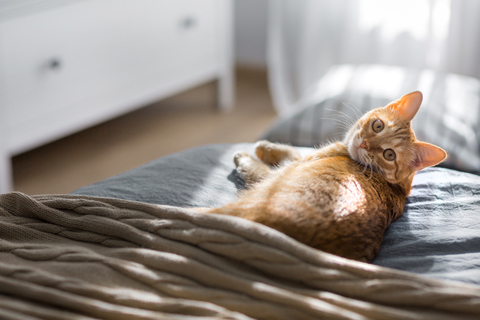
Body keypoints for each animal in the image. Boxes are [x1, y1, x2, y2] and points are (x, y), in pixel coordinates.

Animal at [202, 91, 446, 262]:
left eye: (389, 154)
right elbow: (291, 151)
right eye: (378, 125)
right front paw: (267, 146)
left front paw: (253, 152)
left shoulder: (282, 171)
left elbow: (270, 163)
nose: (365, 144)